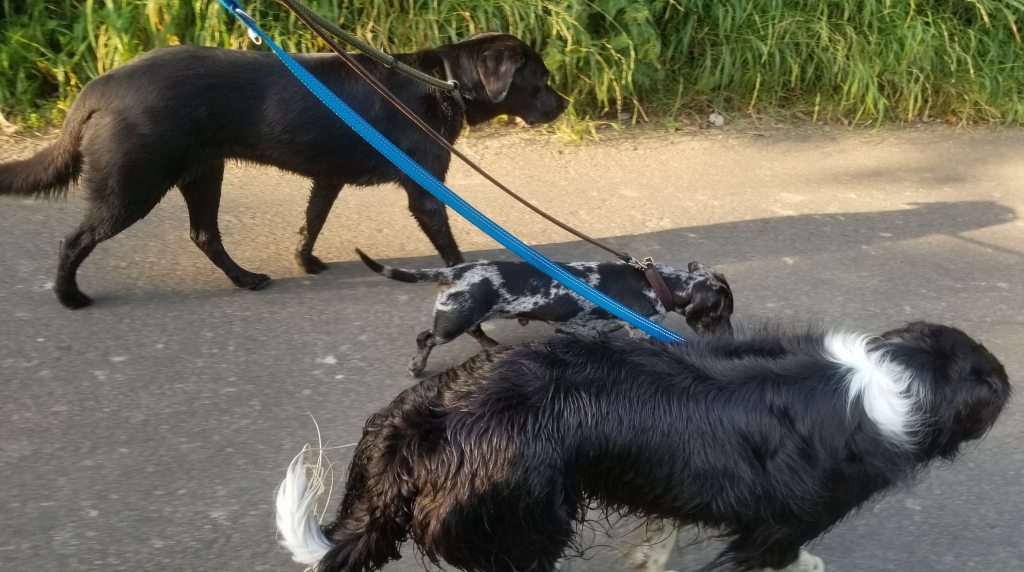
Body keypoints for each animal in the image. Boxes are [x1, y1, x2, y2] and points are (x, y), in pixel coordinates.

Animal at [0, 33, 567, 308]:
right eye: (540, 79)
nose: (562, 104)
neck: (443, 82)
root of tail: (101, 85)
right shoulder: (424, 191)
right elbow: (449, 246)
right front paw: (466, 275)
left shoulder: (328, 178)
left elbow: (311, 222)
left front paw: (306, 262)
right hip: (132, 184)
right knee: (74, 241)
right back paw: (70, 297)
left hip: (204, 172)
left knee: (204, 234)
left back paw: (246, 279)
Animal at [275, 321, 1009, 571]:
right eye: (997, 387)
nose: (1011, 383)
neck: (895, 379)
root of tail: (424, 419)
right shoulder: (779, 526)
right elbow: (781, 556)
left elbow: (667, 526)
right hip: (525, 526)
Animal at [355, 248, 734, 376]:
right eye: (719, 314)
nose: (730, 340)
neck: (657, 282)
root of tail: (453, 273)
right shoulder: (640, 330)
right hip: (451, 323)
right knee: (425, 338)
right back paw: (417, 366)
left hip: (471, 315)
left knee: (477, 333)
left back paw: (493, 347)